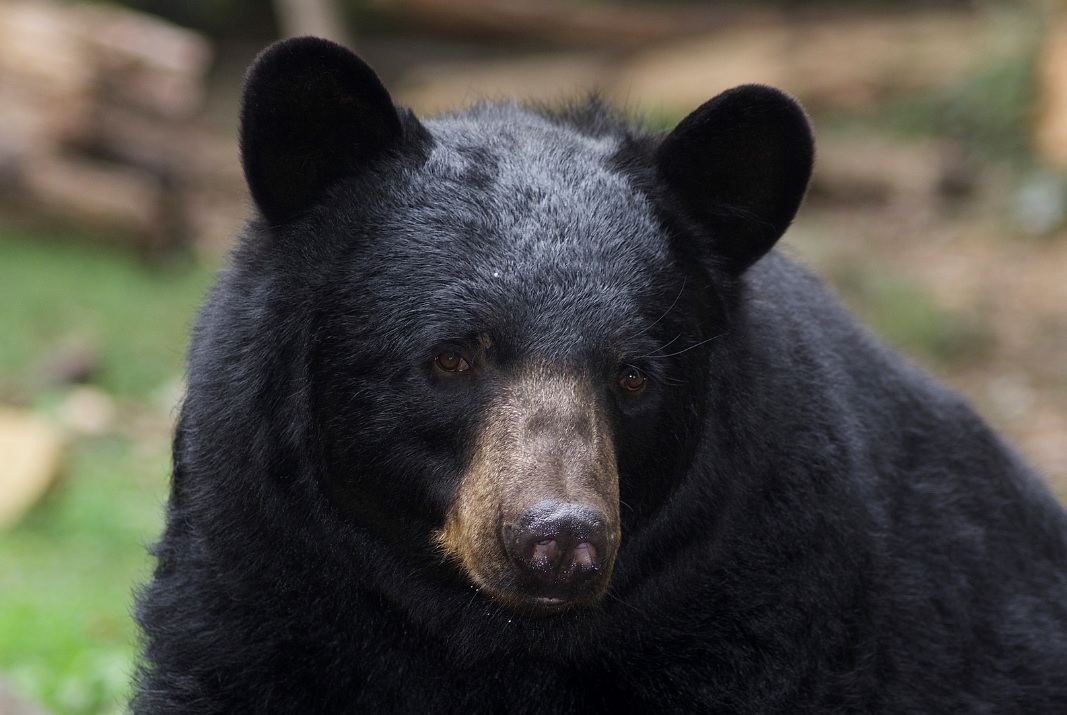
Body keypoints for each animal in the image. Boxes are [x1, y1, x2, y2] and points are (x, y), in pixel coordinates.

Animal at [133, 39, 1067, 715]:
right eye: (451, 355)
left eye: (632, 375)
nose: (559, 539)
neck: (478, 631)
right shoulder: (256, 562)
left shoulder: (764, 599)